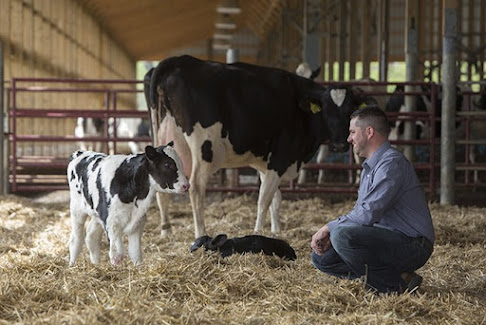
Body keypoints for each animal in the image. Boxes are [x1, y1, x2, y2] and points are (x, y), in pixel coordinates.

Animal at [144, 55, 372, 238]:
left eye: (350, 110)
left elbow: (275, 198)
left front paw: (276, 230)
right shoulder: (279, 159)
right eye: (327, 110)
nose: (340, 145)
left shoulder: (266, 163)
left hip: (164, 140)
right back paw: (201, 233)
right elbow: (264, 198)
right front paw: (258, 231)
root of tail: (179, 60)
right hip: (204, 149)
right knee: (197, 189)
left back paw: (166, 231)